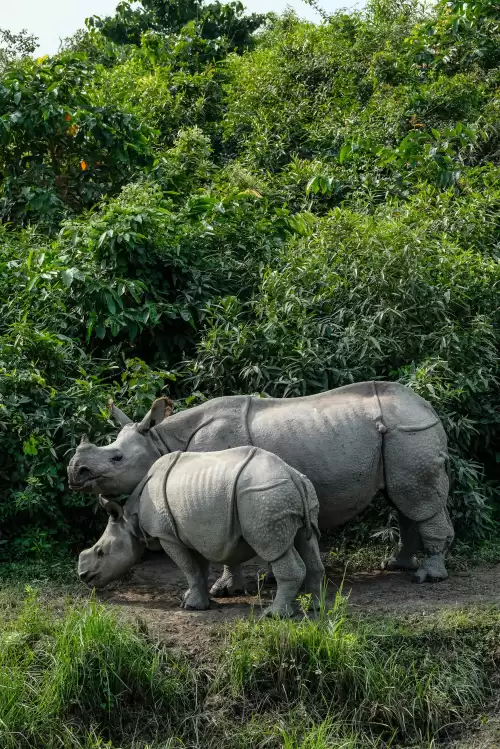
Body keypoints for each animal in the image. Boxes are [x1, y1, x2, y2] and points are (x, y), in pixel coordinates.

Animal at [68, 381, 454, 590]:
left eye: (116, 458)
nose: (75, 471)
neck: (161, 441)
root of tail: (428, 407)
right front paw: (265, 579)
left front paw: (224, 589)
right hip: (401, 435)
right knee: (402, 501)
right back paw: (397, 565)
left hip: (409, 432)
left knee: (416, 499)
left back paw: (428, 577)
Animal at [78, 447, 324, 616]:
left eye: (100, 552)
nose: (83, 577)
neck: (130, 520)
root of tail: (291, 474)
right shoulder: (191, 531)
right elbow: (198, 569)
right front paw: (195, 598)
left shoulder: (167, 536)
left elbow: (188, 568)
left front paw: (191, 606)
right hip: (294, 491)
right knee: (307, 542)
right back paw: (314, 606)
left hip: (264, 494)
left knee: (273, 548)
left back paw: (275, 615)